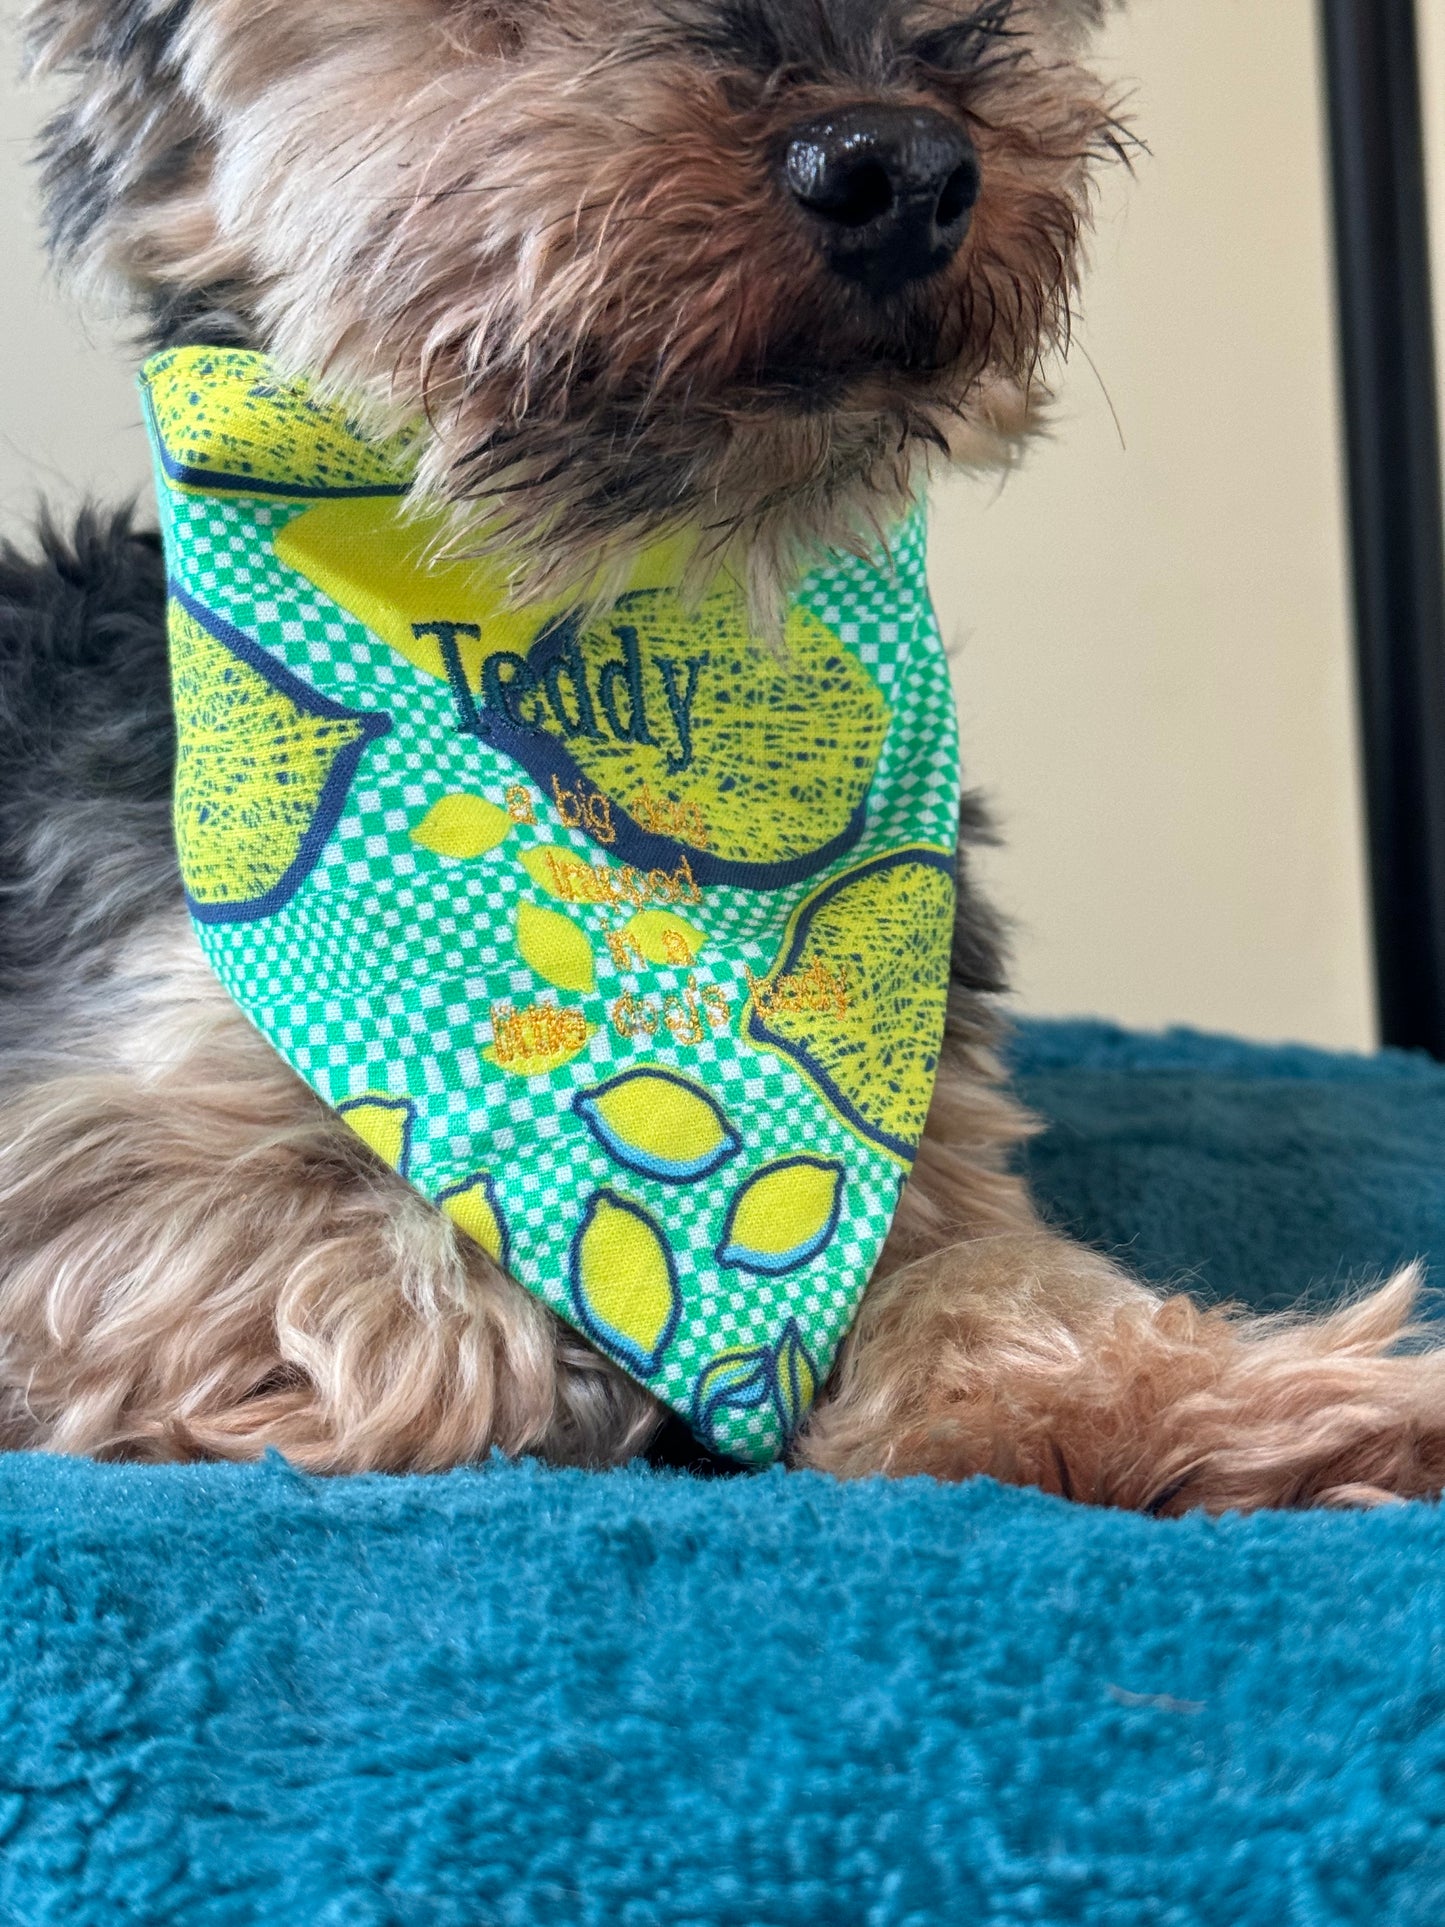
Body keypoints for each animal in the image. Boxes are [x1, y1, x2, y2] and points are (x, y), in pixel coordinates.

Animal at [0, 0, 1441, 1503]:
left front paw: (1224, 1400)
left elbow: (998, 1277)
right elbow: (413, 1290)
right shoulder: (103, 1146)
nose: (900, 165)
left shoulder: (926, 1128)